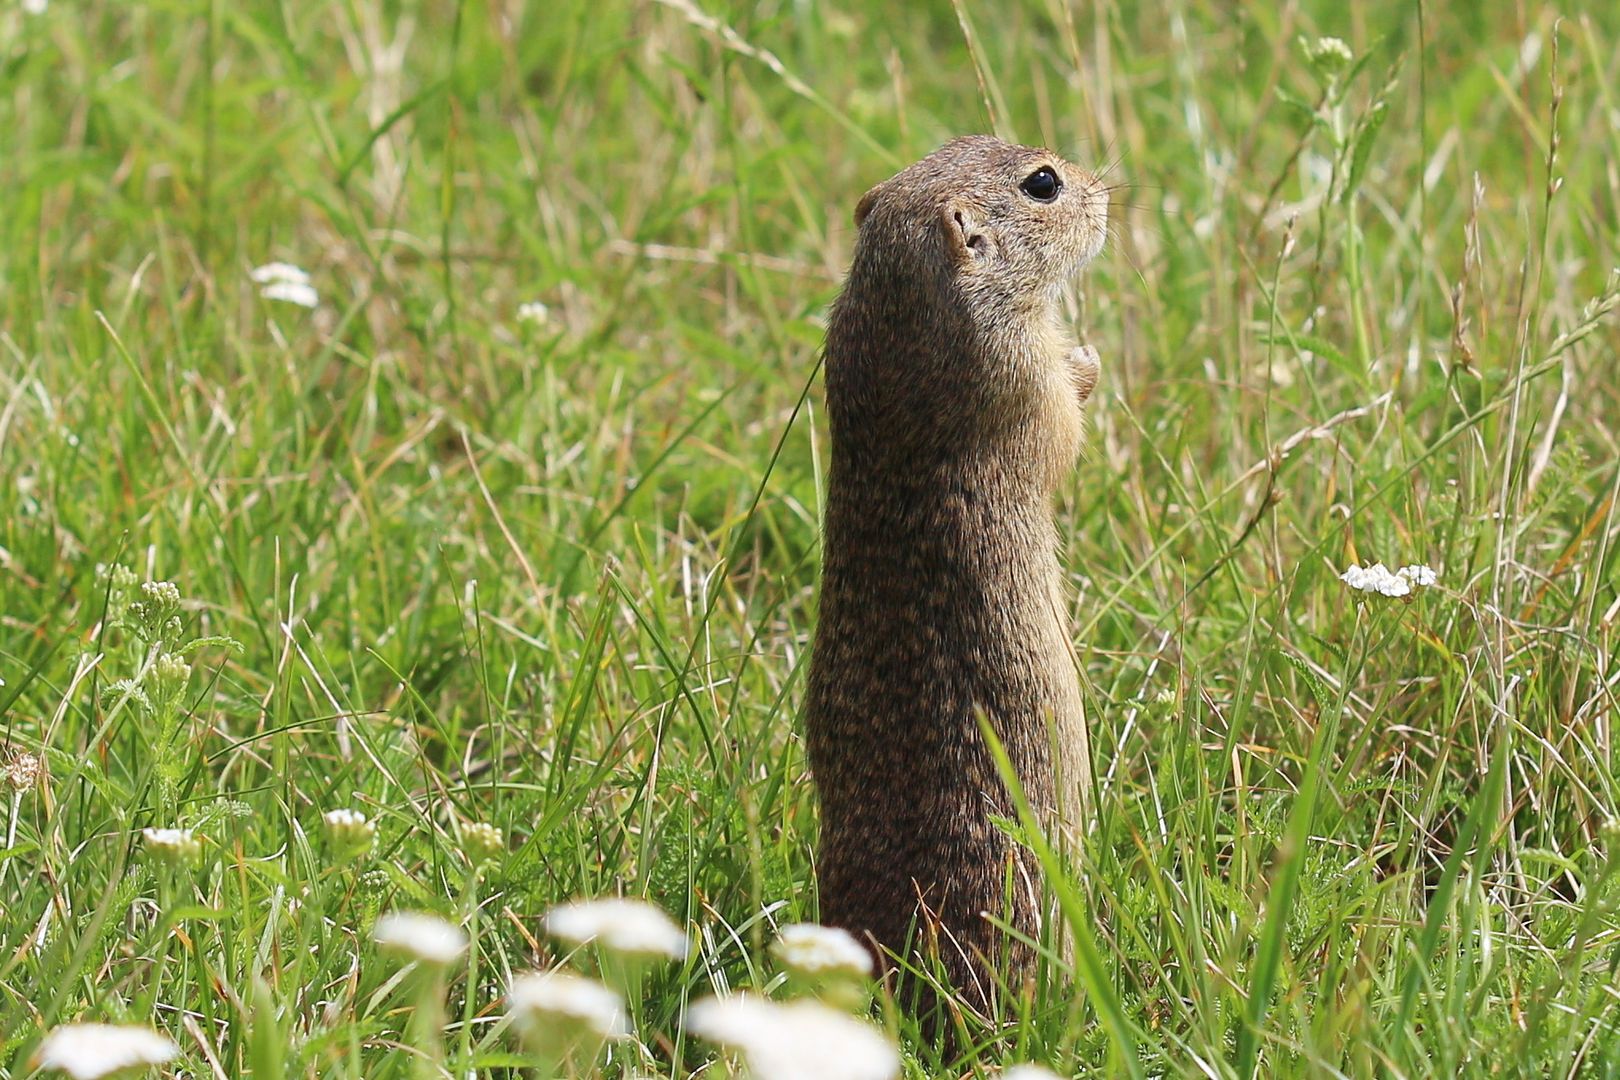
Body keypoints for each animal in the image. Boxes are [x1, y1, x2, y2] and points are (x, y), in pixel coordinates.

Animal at [803, 135, 1108, 1016]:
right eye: (1043, 185)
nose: (1105, 191)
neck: (898, 317)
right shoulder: (1019, 380)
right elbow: (1062, 427)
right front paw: (1088, 360)